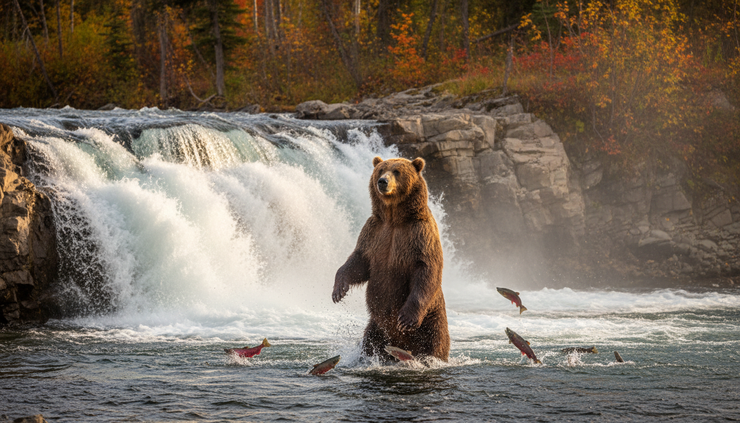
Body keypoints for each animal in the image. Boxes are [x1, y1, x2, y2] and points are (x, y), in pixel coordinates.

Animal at [332, 156, 450, 361]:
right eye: (381, 170)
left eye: (397, 171)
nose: (382, 182)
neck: (394, 218)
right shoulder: (374, 232)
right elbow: (359, 261)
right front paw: (338, 291)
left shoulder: (420, 234)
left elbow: (426, 268)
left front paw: (405, 318)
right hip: (377, 327)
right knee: (371, 343)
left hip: (432, 320)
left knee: (436, 343)